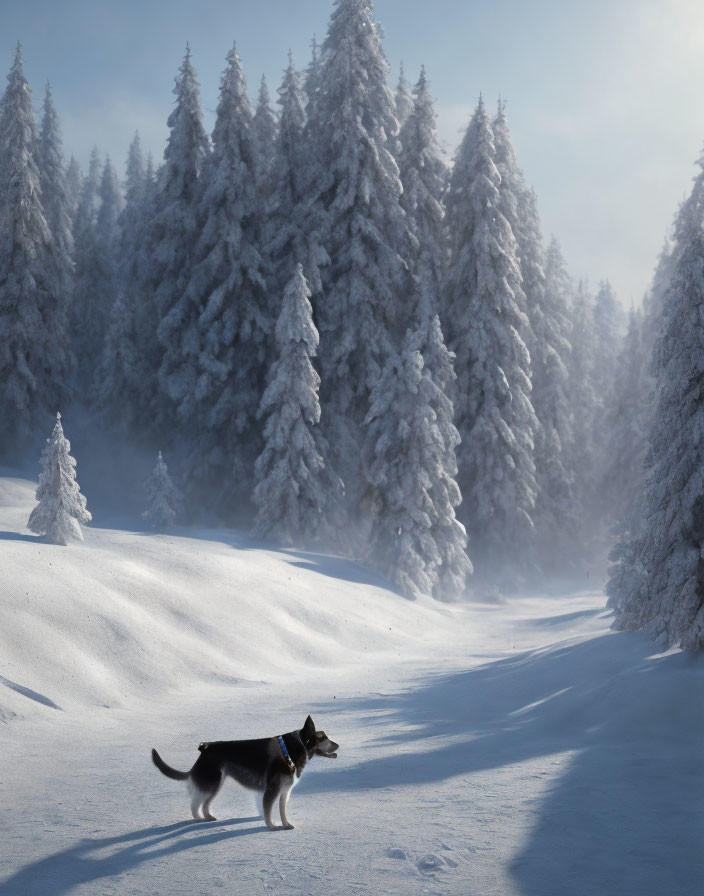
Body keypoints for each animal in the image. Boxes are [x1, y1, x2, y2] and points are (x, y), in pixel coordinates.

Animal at [151, 712, 338, 832]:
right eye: (323, 738)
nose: (337, 745)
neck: (292, 749)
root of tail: (205, 748)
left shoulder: (284, 792)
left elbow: (281, 811)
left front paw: (286, 825)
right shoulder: (272, 790)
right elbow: (268, 812)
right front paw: (272, 827)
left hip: (216, 783)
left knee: (204, 804)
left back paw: (208, 818)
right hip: (212, 782)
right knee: (195, 804)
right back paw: (197, 820)